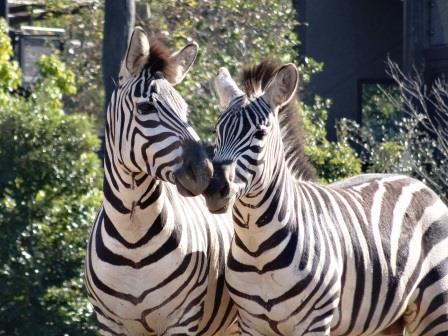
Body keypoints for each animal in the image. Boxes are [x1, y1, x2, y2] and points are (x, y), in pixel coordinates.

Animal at [84, 27, 238, 334]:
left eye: (185, 110)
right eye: (145, 108)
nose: (205, 173)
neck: (132, 236)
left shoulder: (182, 318)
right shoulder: (108, 323)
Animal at [178, 59, 448, 334]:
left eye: (260, 134)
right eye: (216, 130)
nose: (214, 189)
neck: (257, 248)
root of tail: (418, 183)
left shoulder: (316, 322)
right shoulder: (250, 323)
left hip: (436, 307)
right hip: (388, 319)